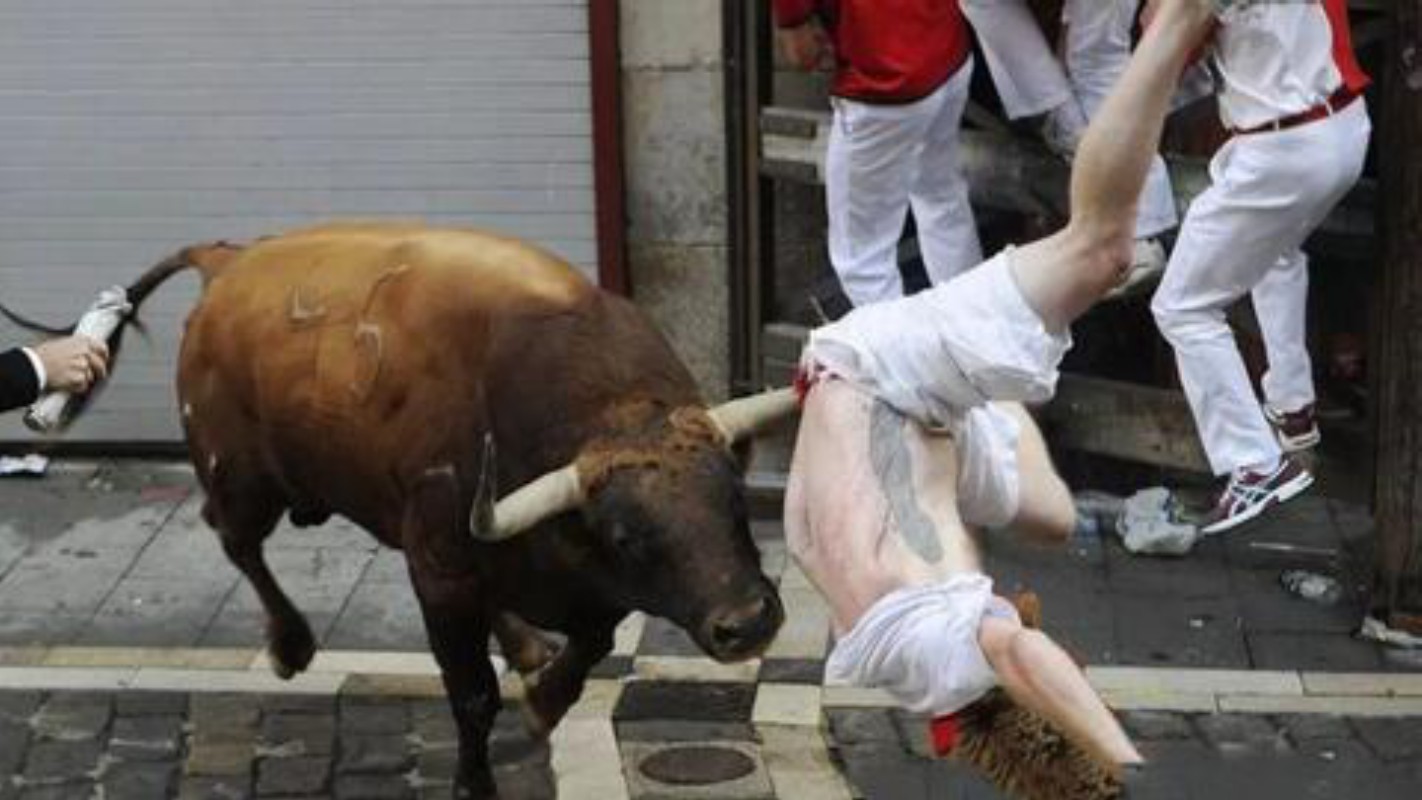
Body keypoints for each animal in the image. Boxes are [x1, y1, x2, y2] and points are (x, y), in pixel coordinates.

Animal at [60, 223, 796, 798]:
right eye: (625, 535)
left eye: (735, 497)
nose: (749, 622)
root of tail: (228, 262)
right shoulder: (439, 571)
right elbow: (472, 693)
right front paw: (478, 777)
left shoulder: (573, 581)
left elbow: (595, 641)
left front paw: (544, 696)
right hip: (241, 479)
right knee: (235, 540)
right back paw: (291, 644)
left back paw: (525, 644)